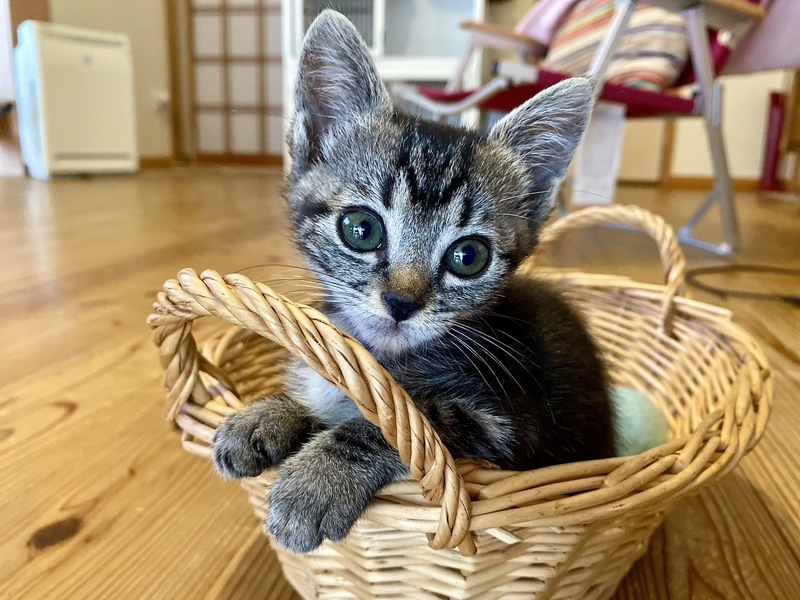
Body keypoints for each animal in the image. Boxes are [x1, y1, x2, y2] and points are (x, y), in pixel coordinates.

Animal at [213, 10, 615, 554]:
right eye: (361, 229)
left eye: (468, 257)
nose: (401, 302)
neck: (383, 359)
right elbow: (334, 403)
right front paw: (270, 415)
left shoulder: (506, 428)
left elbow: (404, 424)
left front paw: (317, 479)